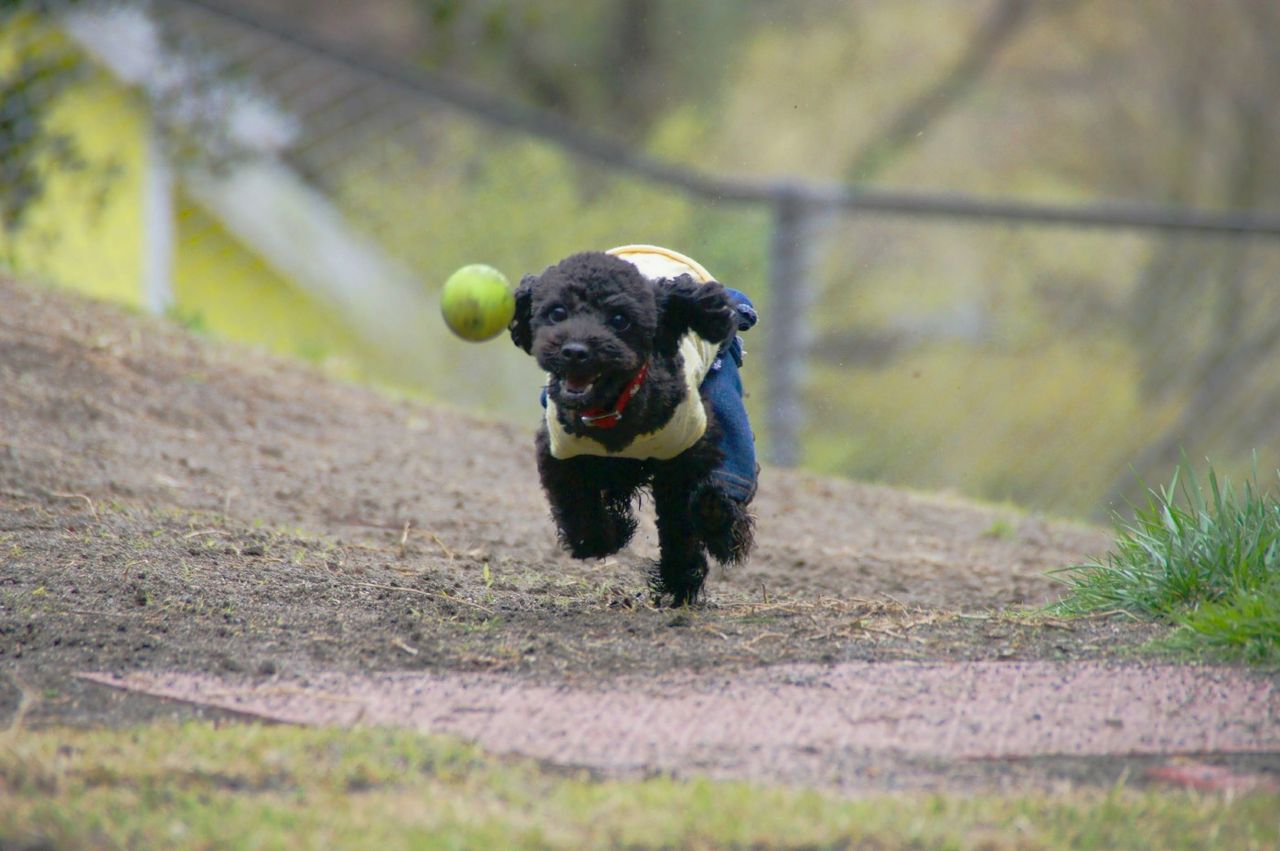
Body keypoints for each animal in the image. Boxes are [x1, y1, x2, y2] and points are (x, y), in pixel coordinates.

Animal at [509, 246, 757, 605]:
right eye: (557, 312)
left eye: (619, 319)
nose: (575, 351)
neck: (613, 410)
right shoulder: (559, 454)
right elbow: (580, 511)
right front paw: (609, 534)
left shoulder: (685, 454)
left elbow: (680, 524)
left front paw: (682, 580)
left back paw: (718, 523)